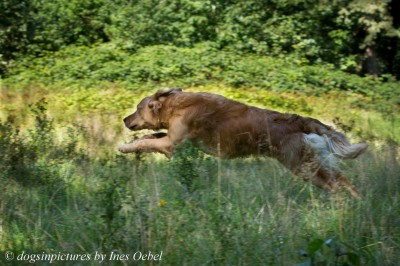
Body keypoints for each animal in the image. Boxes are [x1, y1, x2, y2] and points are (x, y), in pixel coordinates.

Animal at [119, 88, 368, 198]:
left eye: (137, 108)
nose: (125, 119)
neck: (175, 105)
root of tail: (299, 120)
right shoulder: (169, 138)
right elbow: (148, 138)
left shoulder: (171, 143)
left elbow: (145, 142)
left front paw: (125, 147)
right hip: (316, 161)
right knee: (344, 180)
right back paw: (357, 203)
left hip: (302, 166)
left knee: (335, 186)